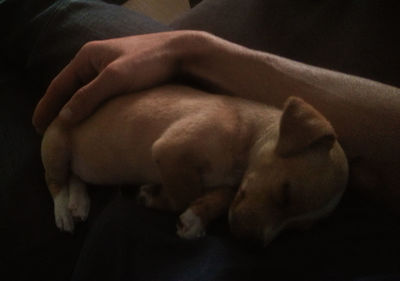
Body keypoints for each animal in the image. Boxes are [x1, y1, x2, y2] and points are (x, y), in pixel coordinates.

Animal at [40, 84, 346, 244]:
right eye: (286, 192)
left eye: (297, 230)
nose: (246, 241)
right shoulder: (170, 149)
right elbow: (183, 194)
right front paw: (158, 198)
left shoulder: (232, 185)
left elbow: (220, 197)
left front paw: (198, 216)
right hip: (56, 147)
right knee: (55, 182)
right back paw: (64, 212)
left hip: (83, 166)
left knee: (75, 176)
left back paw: (79, 202)